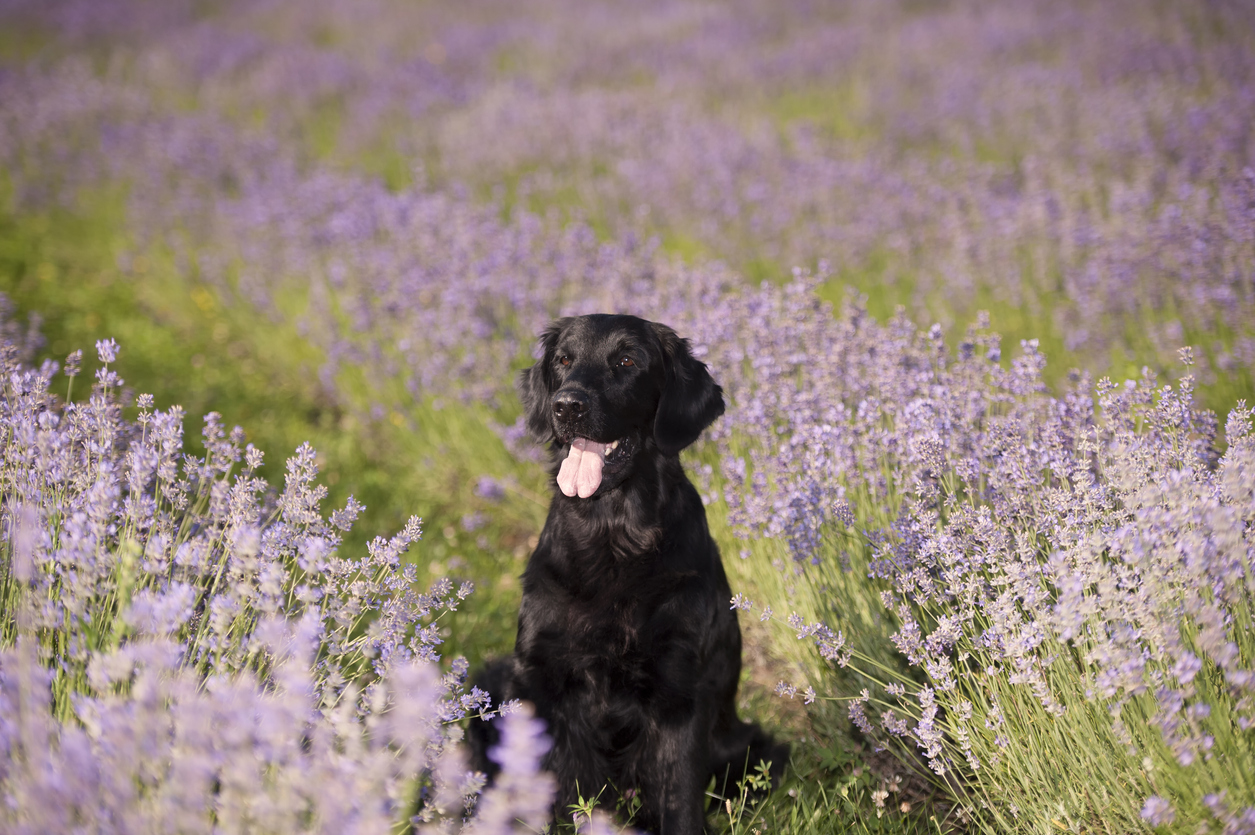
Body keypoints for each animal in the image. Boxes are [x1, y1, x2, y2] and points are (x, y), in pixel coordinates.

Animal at [471, 313, 783, 833]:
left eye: (627, 362)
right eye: (564, 359)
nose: (566, 406)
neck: (612, 535)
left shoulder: (679, 691)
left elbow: (679, 799)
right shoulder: (542, 681)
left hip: (751, 745)